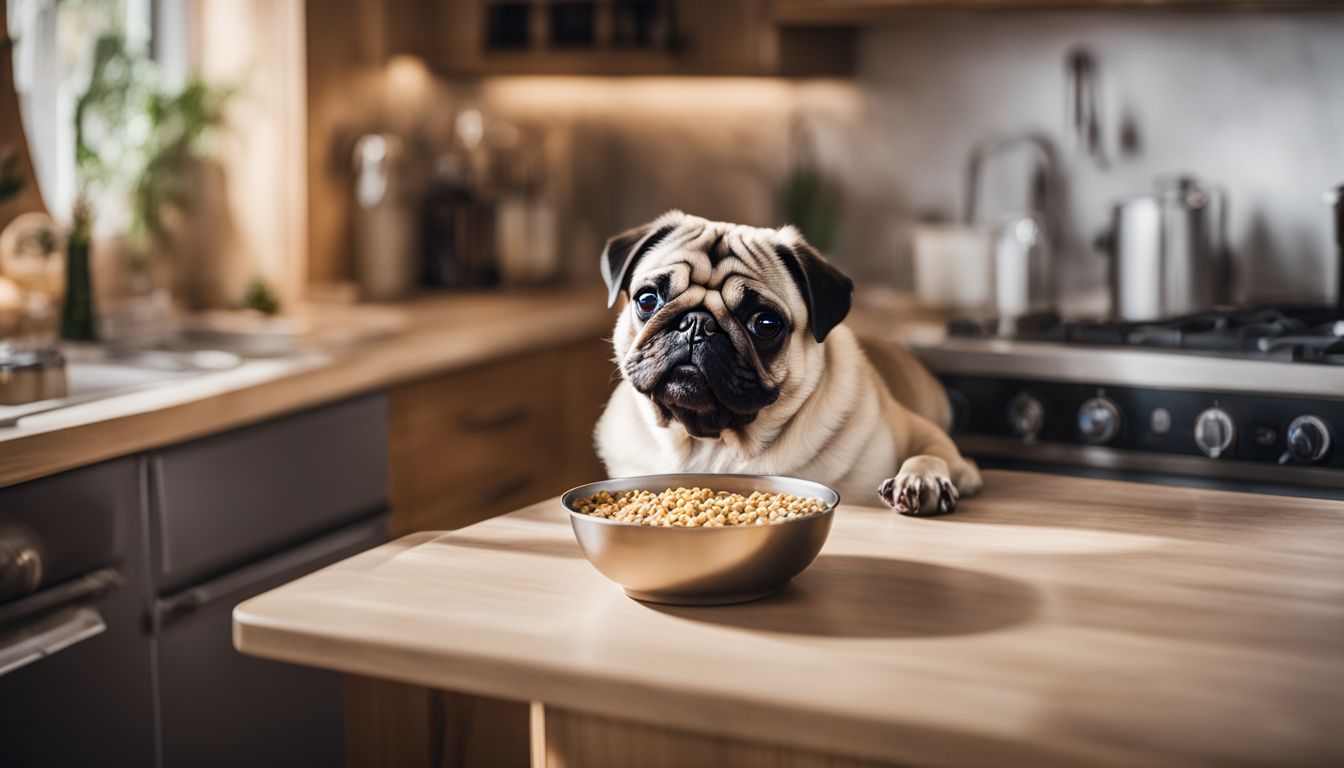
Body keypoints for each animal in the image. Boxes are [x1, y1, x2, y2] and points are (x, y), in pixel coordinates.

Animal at [594, 209, 983, 516]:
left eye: (765, 324)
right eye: (647, 300)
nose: (697, 324)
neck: (716, 445)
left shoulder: (930, 439)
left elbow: (930, 453)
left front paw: (921, 480)